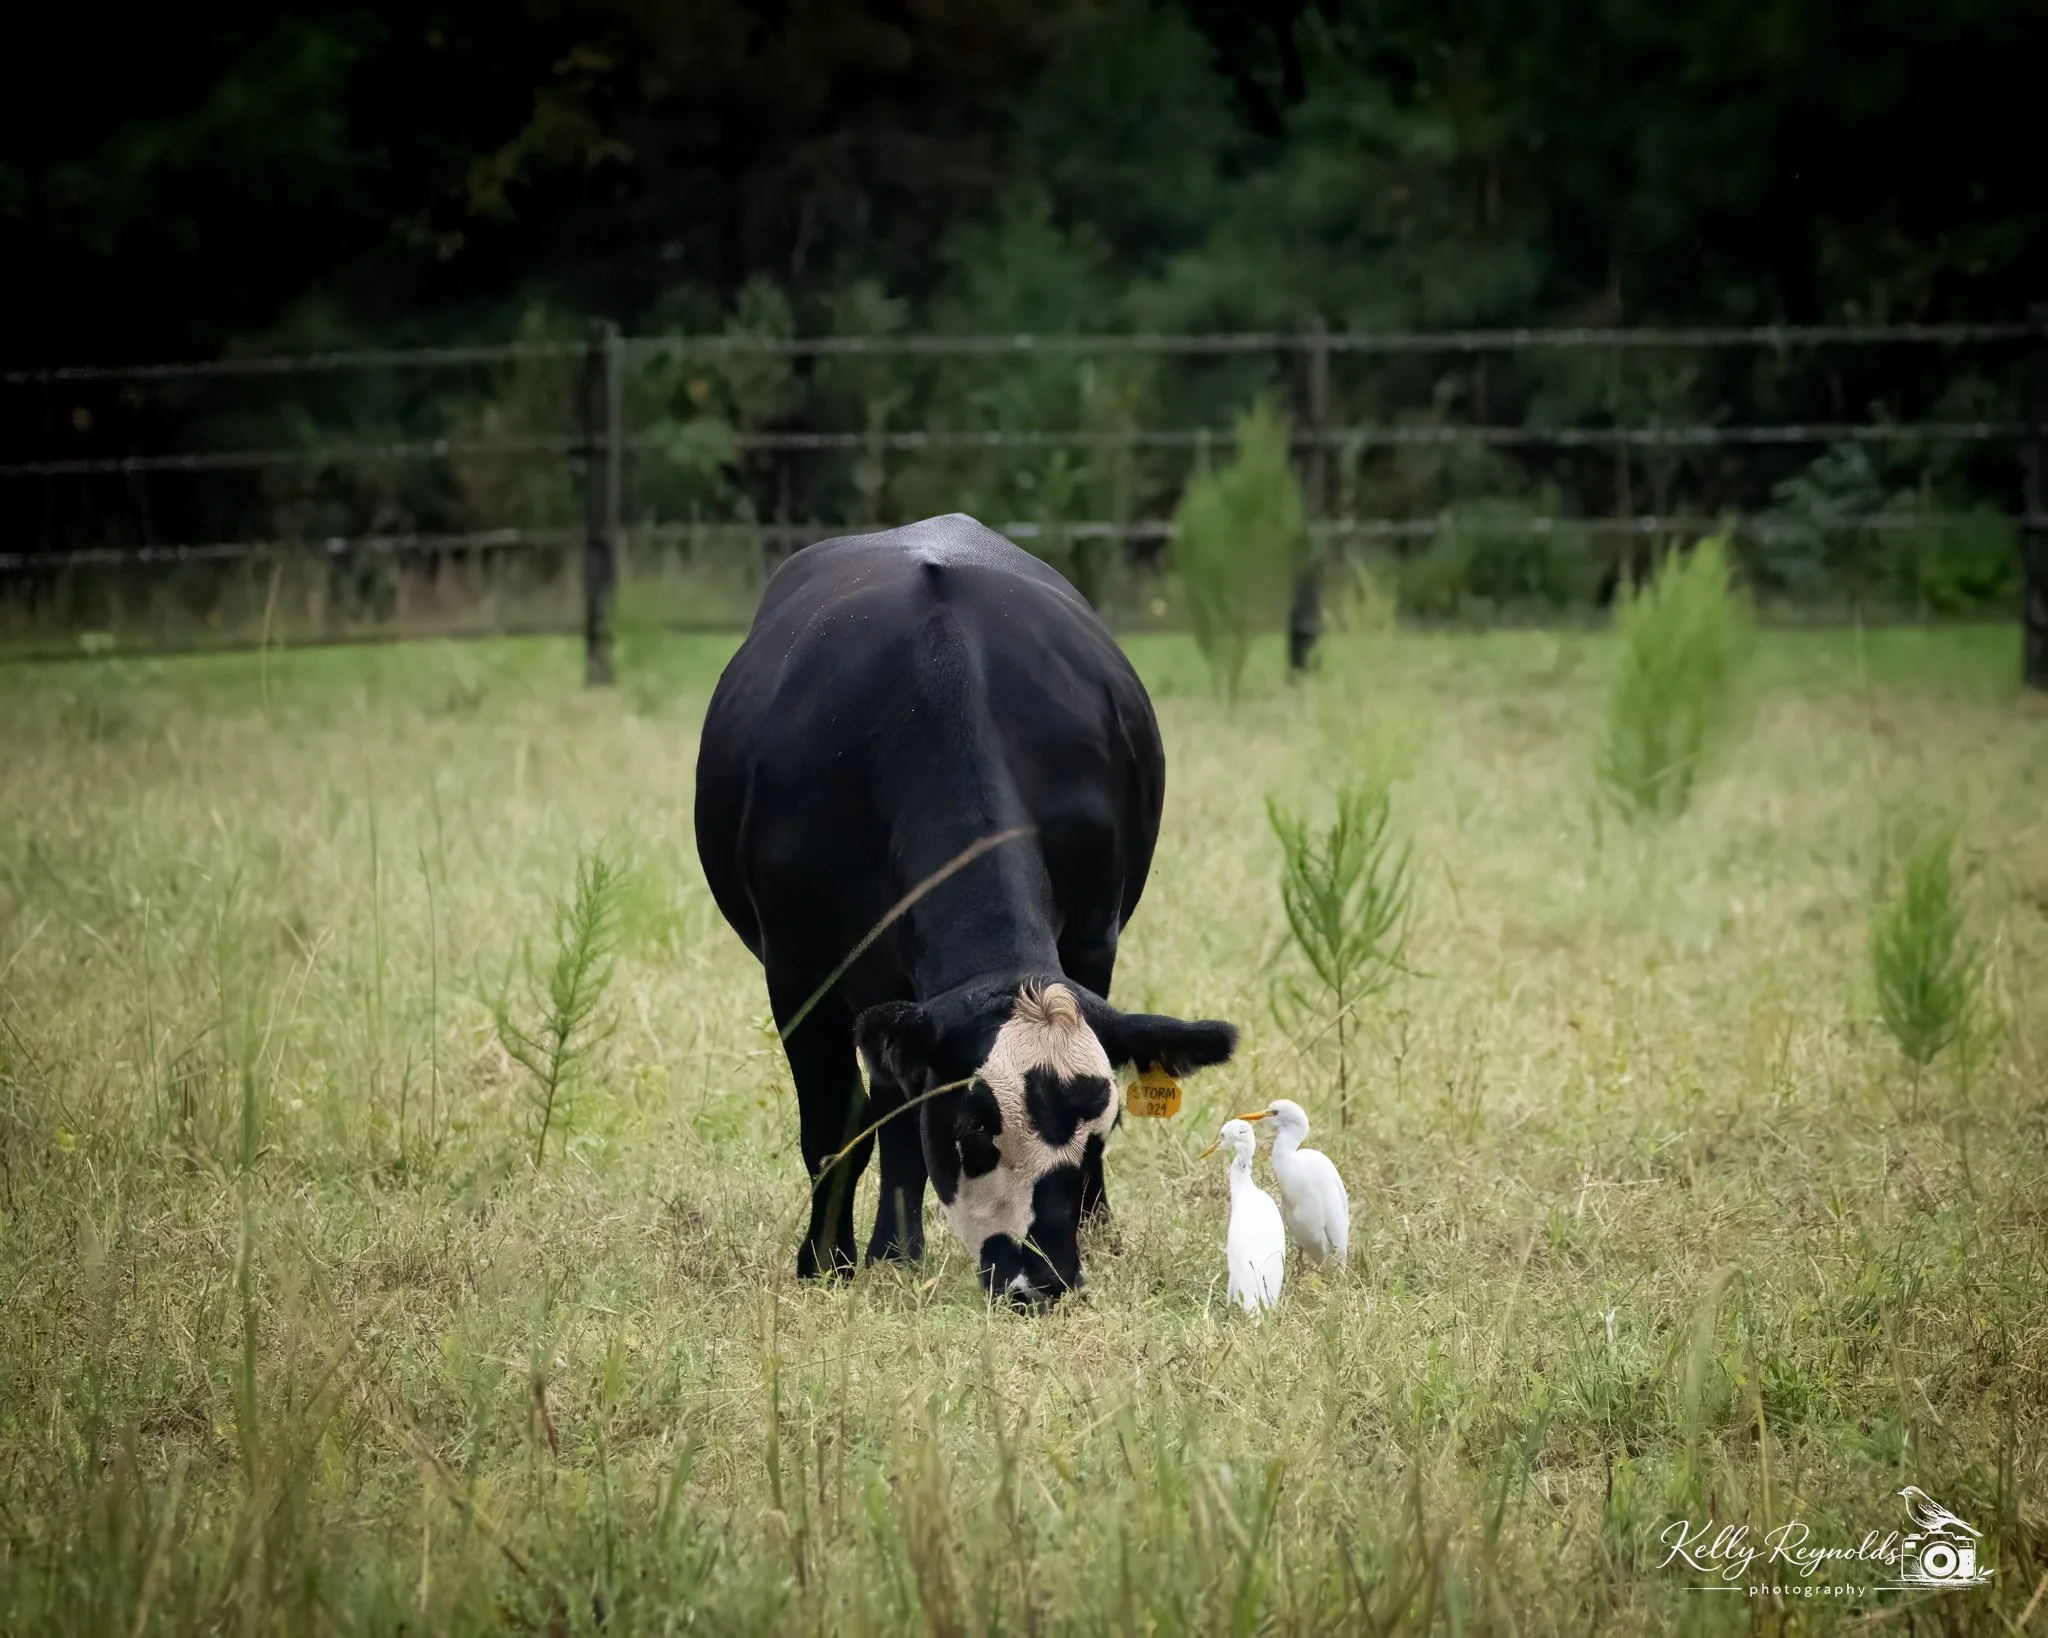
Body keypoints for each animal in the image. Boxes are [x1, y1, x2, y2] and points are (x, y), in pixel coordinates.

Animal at [694, 514, 1239, 1304]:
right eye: (973, 1131)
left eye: (1097, 1133)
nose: (1043, 1281)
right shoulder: (801, 969)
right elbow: (838, 1127)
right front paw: (831, 1262)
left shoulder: (1093, 938)